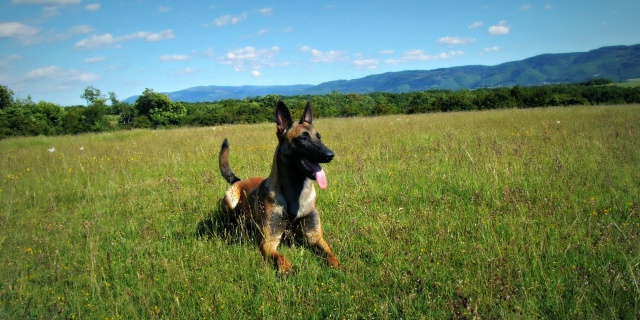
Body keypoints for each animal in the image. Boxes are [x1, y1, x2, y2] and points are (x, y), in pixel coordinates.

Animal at [219, 100, 340, 272]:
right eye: (303, 138)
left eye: (319, 137)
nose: (330, 155)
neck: (295, 194)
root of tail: (238, 180)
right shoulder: (269, 242)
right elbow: (280, 256)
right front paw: (286, 269)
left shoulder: (315, 237)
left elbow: (330, 254)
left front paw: (337, 266)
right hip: (230, 199)